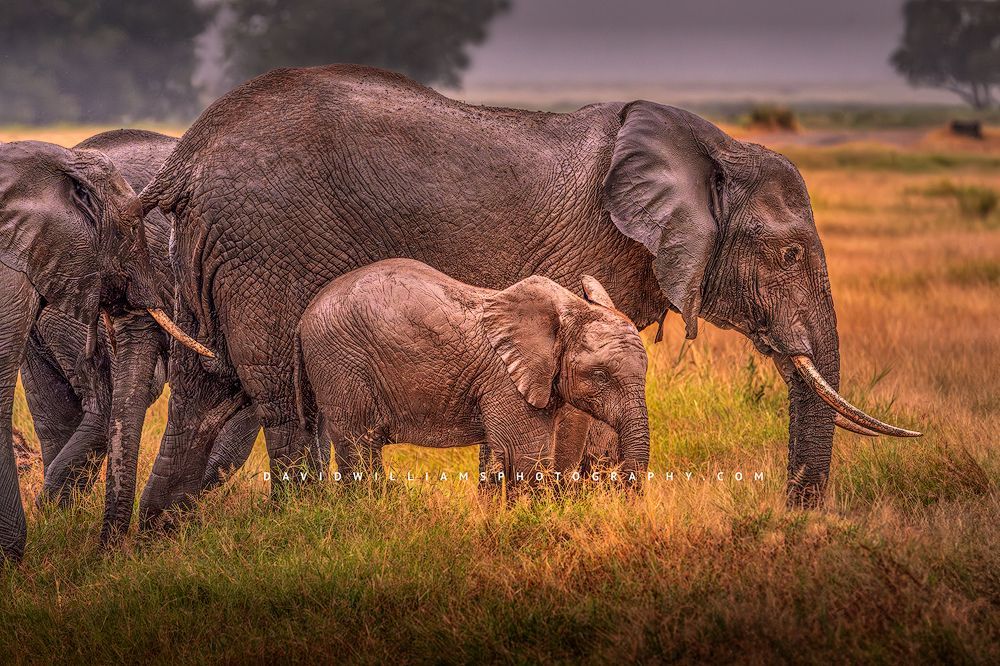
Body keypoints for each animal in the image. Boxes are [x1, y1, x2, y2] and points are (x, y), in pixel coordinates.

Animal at [295, 259, 649, 485]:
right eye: (601, 376)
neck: (570, 309)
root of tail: (302, 318)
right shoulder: (505, 382)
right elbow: (527, 458)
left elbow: (504, 458)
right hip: (340, 365)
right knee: (360, 446)